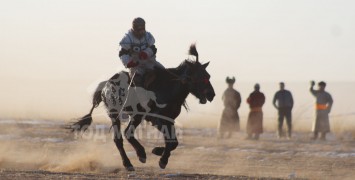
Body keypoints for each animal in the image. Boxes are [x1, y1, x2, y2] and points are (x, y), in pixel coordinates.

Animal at [68, 44, 216, 171]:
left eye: (208, 76)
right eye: (198, 76)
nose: (211, 94)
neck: (168, 88)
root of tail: (105, 85)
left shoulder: (169, 120)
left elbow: (172, 142)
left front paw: (158, 153)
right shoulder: (157, 119)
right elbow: (171, 142)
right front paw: (161, 159)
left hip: (134, 116)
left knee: (126, 134)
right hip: (118, 115)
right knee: (122, 137)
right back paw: (135, 158)